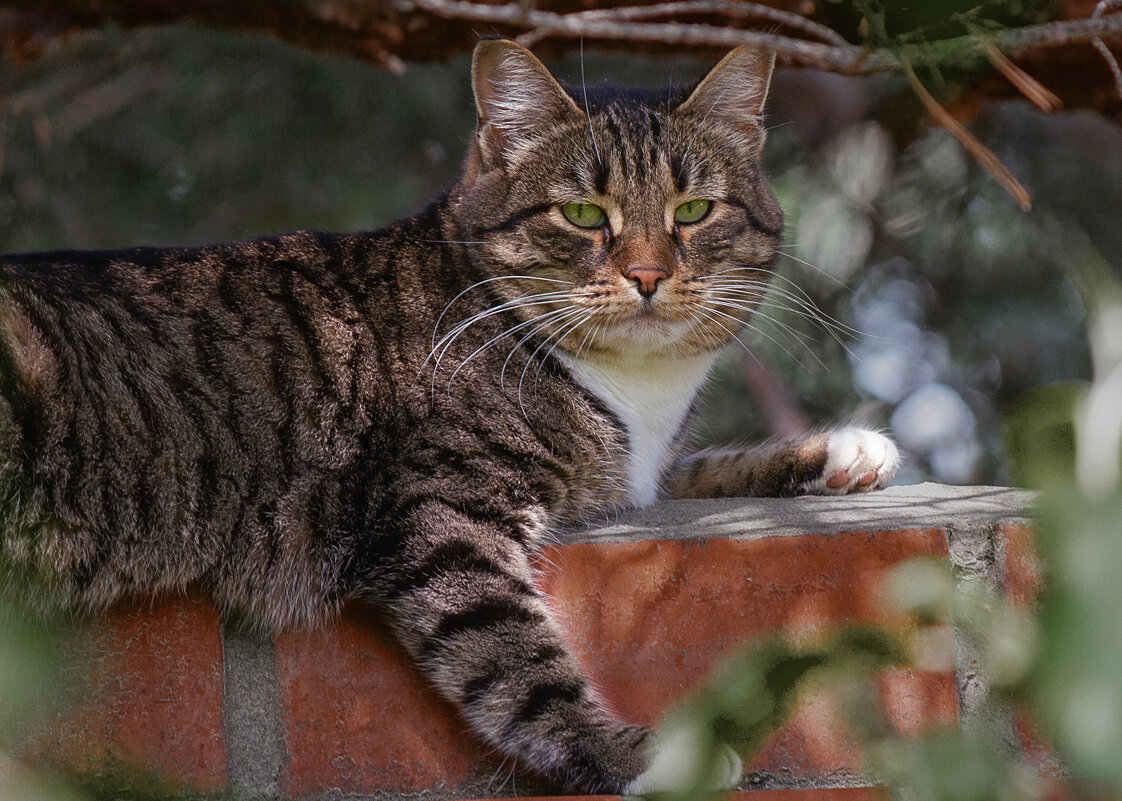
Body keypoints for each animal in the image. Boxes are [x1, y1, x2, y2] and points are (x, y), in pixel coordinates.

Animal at [0, 38, 893, 794]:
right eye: (581, 215)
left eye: (695, 210)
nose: (646, 275)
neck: (635, 392)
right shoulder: (443, 511)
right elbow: (516, 655)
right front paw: (638, 753)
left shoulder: (637, 475)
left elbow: (704, 466)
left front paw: (842, 452)